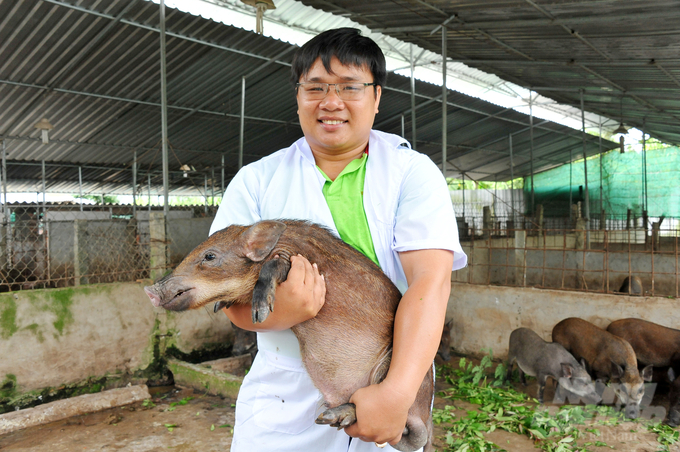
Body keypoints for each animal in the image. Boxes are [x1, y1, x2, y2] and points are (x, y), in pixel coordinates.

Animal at [145, 220, 436, 452]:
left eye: (209, 256)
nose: (150, 290)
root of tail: (423, 416)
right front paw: (220, 305)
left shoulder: (290, 258)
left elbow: (270, 269)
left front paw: (260, 313)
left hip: (392, 372)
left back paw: (329, 418)